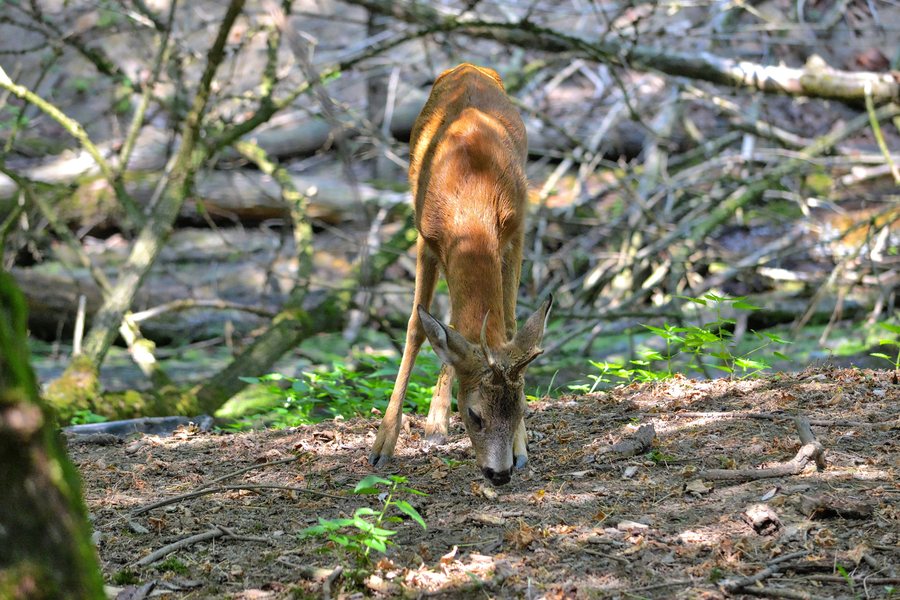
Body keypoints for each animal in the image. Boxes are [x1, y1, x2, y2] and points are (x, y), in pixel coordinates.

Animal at [368, 63, 552, 486]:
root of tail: (469, 66)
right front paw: (383, 444)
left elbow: (508, 326)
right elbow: (416, 327)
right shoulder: (425, 237)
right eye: (474, 415)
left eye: (521, 409)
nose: (499, 474)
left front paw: (521, 447)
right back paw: (434, 425)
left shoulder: (515, 230)